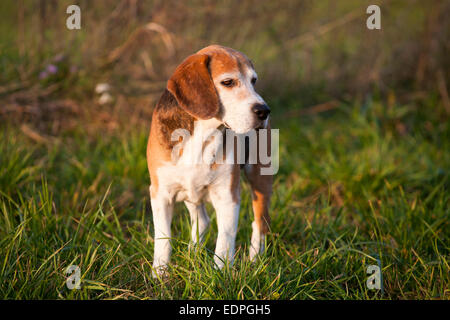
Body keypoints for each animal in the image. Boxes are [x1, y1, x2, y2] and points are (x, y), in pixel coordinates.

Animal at [148, 45, 272, 278]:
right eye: (228, 82)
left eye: (254, 81)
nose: (263, 110)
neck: (203, 135)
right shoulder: (161, 194)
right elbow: (163, 238)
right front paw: (160, 275)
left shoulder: (228, 196)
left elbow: (224, 241)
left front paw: (221, 275)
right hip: (191, 192)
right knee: (202, 221)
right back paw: (193, 253)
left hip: (260, 177)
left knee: (260, 222)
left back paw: (255, 260)